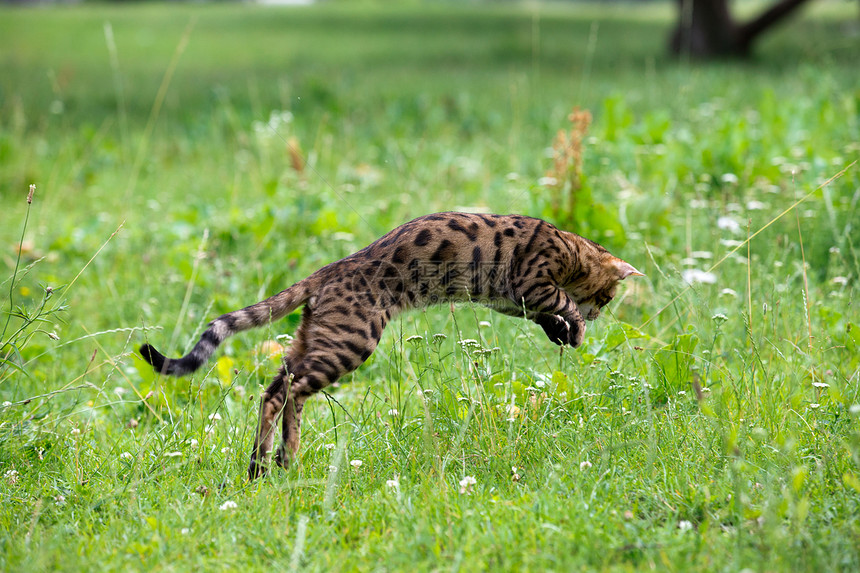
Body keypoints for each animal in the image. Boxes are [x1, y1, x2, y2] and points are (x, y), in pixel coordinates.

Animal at [139, 211, 640, 478]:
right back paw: (283, 455)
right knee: (291, 392)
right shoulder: (532, 282)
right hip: (350, 343)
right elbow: (561, 303)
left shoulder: (514, 301)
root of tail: (325, 272)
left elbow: (547, 315)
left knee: (273, 390)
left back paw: (266, 463)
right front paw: (577, 327)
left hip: (310, 340)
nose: (602, 311)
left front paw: (562, 332)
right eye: (608, 297)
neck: (571, 248)